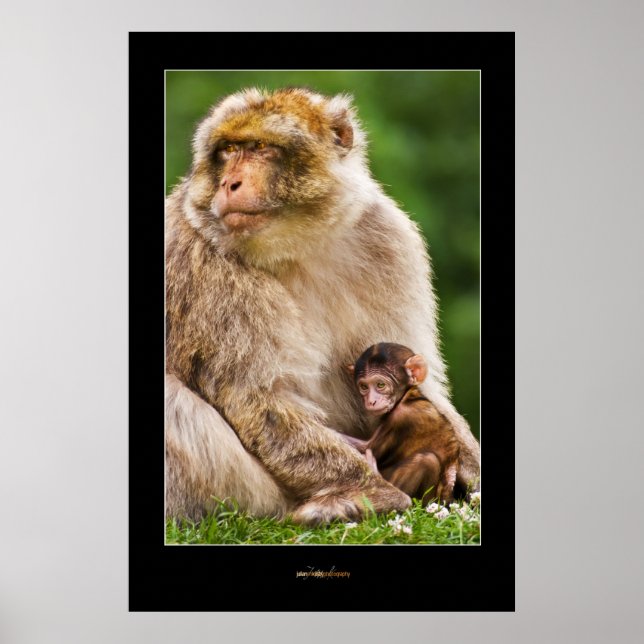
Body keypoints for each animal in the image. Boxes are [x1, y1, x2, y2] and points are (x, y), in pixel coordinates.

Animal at [345, 343, 460, 504]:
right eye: (364, 387)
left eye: (380, 385)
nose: (371, 401)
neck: (407, 396)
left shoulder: (403, 417)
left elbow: (366, 447)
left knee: (426, 460)